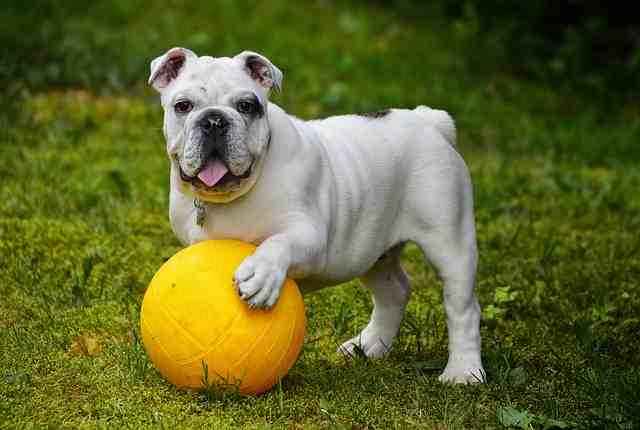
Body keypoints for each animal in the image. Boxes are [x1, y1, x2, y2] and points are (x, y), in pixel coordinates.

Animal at [148, 47, 482, 382]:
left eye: (246, 106)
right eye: (183, 106)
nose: (214, 120)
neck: (234, 194)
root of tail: (428, 120)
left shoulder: (309, 237)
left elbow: (278, 243)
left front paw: (261, 274)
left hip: (449, 242)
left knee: (463, 307)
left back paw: (463, 371)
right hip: (372, 250)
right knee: (394, 291)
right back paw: (370, 345)